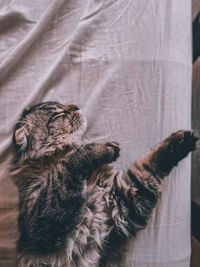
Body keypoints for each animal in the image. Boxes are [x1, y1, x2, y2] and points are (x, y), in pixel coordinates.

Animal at [10, 101, 198, 266]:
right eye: (58, 114)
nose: (76, 106)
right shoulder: (42, 225)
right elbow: (73, 160)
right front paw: (103, 148)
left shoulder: (127, 197)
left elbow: (153, 161)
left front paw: (182, 141)